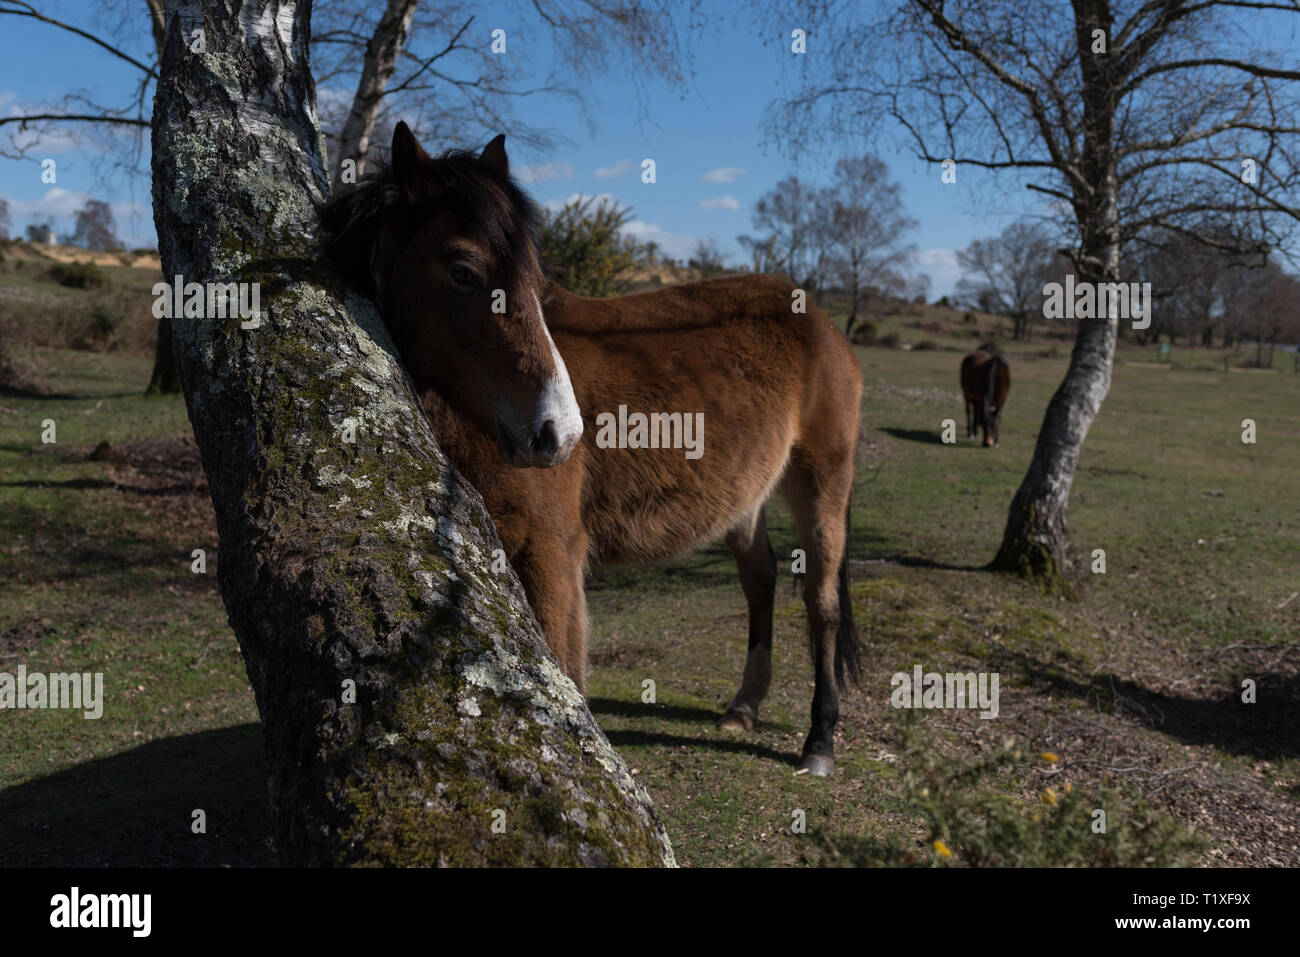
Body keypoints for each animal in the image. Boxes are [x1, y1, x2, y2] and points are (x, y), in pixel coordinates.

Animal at [320, 122, 865, 776]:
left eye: (534, 277)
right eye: (462, 272)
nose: (557, 431)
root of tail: (819, 321)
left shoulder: (552, 549)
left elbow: (566, 670)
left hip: (822, 481)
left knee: (821, 602)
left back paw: (820, 740)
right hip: (747, 498)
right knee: (760, 581)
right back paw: (744, 707)